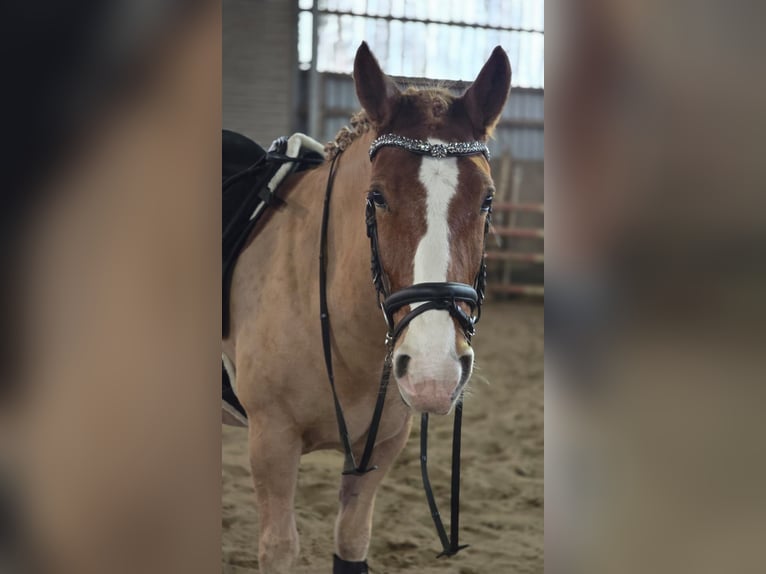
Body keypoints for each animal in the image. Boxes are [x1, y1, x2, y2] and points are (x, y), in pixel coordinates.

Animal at [223, 42, 511, 573]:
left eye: (487, 201)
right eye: (376, 196)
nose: (434, 373)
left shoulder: (382, 447)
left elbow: (353, 540)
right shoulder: (271, 442)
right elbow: (279, 547)